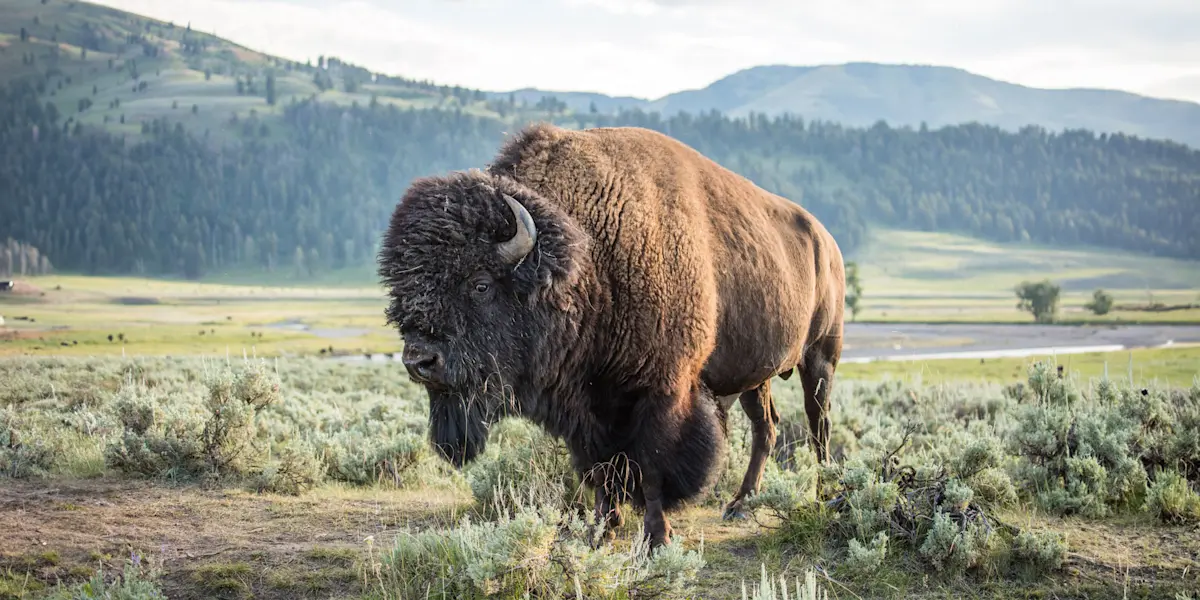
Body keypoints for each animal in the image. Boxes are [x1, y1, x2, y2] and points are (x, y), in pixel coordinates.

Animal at [378, 123, 846, 550]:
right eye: (402, 292)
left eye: (480, 284)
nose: (419, 361)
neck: (590, 259)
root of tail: (828, 242)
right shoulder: (586, 406)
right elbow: (600, 469)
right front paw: (600, 530)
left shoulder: (661, 391)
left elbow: (651, 467)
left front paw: (657, 537)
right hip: (756, 375)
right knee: (767, 427)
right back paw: (741, 504)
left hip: (820, 357)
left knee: (818, 422)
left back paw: (826, 493)